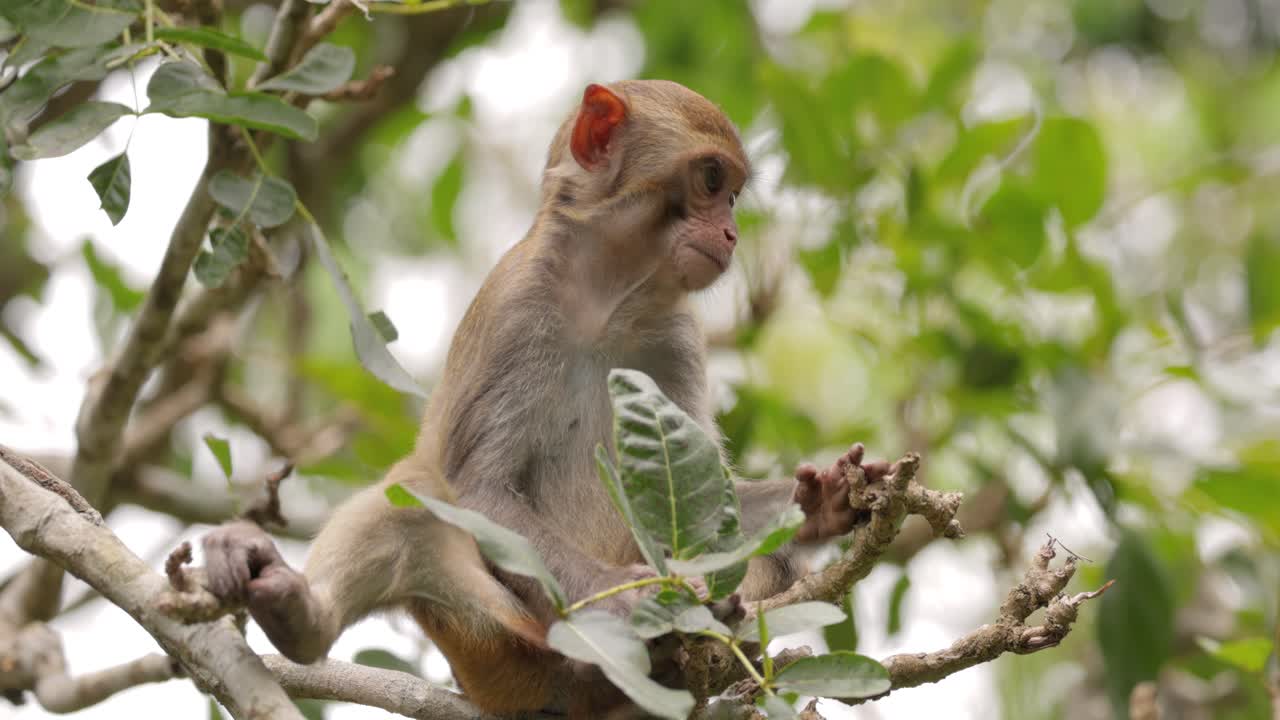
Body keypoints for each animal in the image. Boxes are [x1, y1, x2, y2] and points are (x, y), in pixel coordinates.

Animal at [202, 80, 892, 718]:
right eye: (712, 179)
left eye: (732, 194)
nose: (730, 233)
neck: (608, 298)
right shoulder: (520, 309)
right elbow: (477, 486)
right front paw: (628, 597)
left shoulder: (677, 336)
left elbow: (707, 508)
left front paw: (826, 499)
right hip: (502, 649)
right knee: (410, 500)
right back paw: (301, 617)